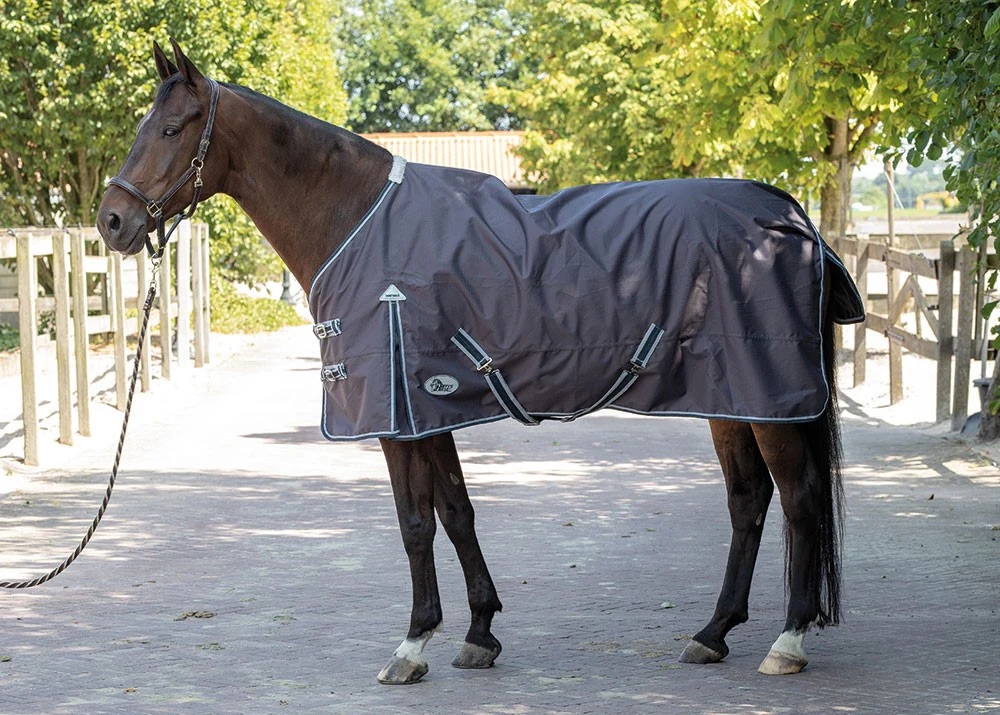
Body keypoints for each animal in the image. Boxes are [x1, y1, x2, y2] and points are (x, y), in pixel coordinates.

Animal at [97, 40, 859, 685]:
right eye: (141, 124)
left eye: (173, 128)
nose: (111, 221)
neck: (358, 220)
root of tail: (791, 216)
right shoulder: (428, 408)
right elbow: (457, 512)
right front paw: (478, 633)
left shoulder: (395, 413)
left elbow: (414, 523)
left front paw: (412, 645)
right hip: (731, 398)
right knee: (748, 501)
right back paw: (713, 632)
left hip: (772, 399)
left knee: (799, 500)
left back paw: (787, 641)